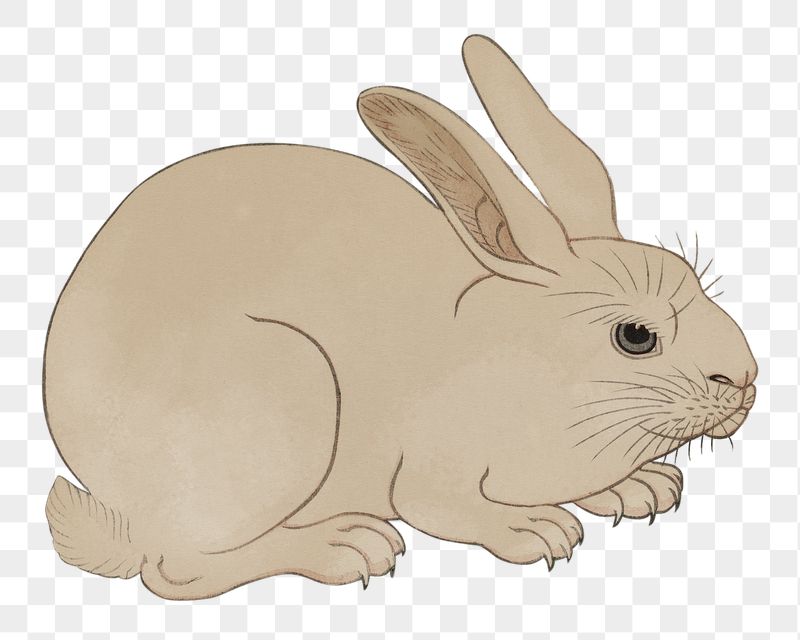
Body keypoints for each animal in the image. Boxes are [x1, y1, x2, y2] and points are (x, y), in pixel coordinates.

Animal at [43, 34, 757, 600]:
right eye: (635, 336)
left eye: (696, 280)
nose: (745, 379)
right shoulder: (429, 468)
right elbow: (446, 508)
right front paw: (536, 529)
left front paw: (641, 489)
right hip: (282, 405)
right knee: (176, 568)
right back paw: (344, 546)